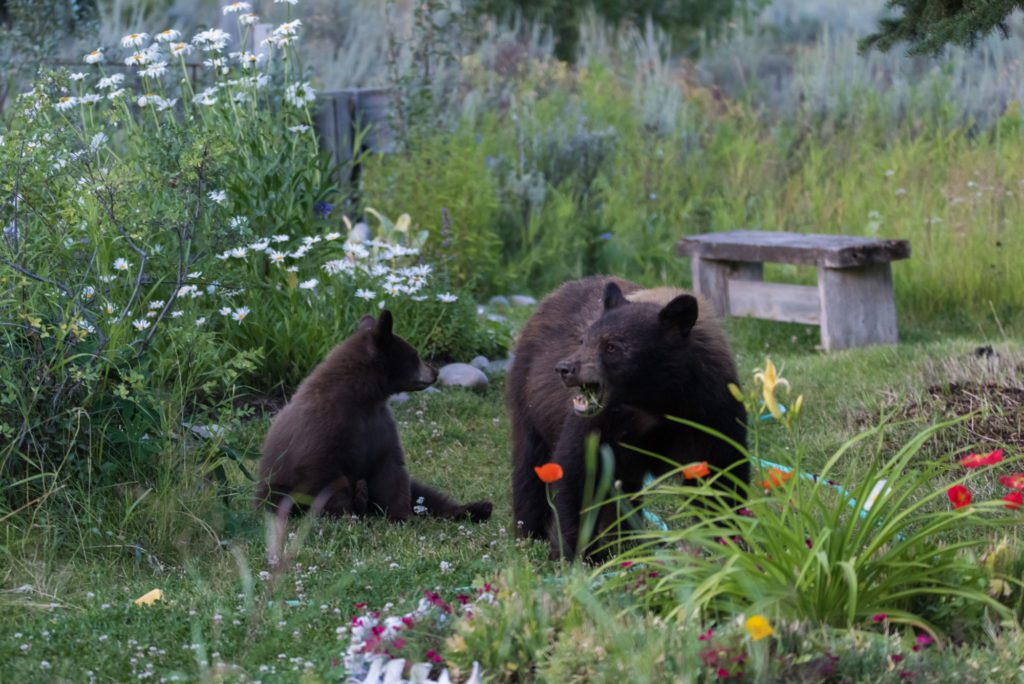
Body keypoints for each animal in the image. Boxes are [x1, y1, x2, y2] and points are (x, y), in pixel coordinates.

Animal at [256, 310, 492, 523]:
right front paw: (347, 516)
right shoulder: (324, 428)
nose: (435, 372)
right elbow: (325, 474)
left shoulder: (380, 426)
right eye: (414, 355)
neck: (363, 399)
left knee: (425, 495)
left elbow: (391, 471)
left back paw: (476, 508)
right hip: (278, 491)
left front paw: (400, 516)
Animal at [507, 276, 747, 559]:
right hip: (527, 401)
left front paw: (729, 541)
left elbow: (722, 476)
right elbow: (577, 470)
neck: (655, 402)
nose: (565, 368)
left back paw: (625, 542)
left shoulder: (712, 412)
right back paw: (531, 532)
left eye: (611, 346)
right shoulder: (600, 424)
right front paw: (577, 553)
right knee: (531, 465)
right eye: (583, 340)